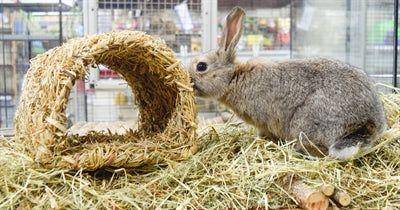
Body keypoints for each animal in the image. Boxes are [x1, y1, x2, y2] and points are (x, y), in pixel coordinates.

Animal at [188, 7, 388, 160]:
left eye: (201, 66)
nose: (189, 79)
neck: (234, 78)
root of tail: (366, 123)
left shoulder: (265, 122)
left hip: (305, 123)